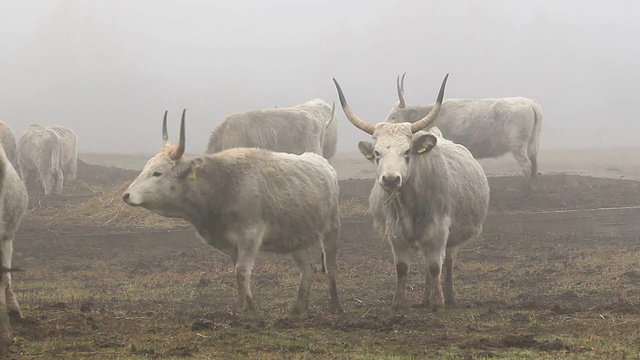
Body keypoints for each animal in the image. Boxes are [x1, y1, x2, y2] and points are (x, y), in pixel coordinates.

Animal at [125, 109, 344, 316]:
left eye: (158, 173)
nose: (126, 195)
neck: (222, 184)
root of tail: (322, 163)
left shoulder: (250, 235)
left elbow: (241, 271)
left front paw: (239, 309)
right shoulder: (231, 244)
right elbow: (239, 273)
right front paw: (250, 308)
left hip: (331, 230)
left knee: (330, 267)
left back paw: (335, 306)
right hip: (295, 238)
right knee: (306, 270)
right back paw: (299, 308)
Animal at [388, 74, 544, 194]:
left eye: (394, 116)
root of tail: (531, 104)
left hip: (518, 145)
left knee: (527, 165)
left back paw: (524, 192)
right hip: (533, 142)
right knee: (534, 162)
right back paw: (534, 188)